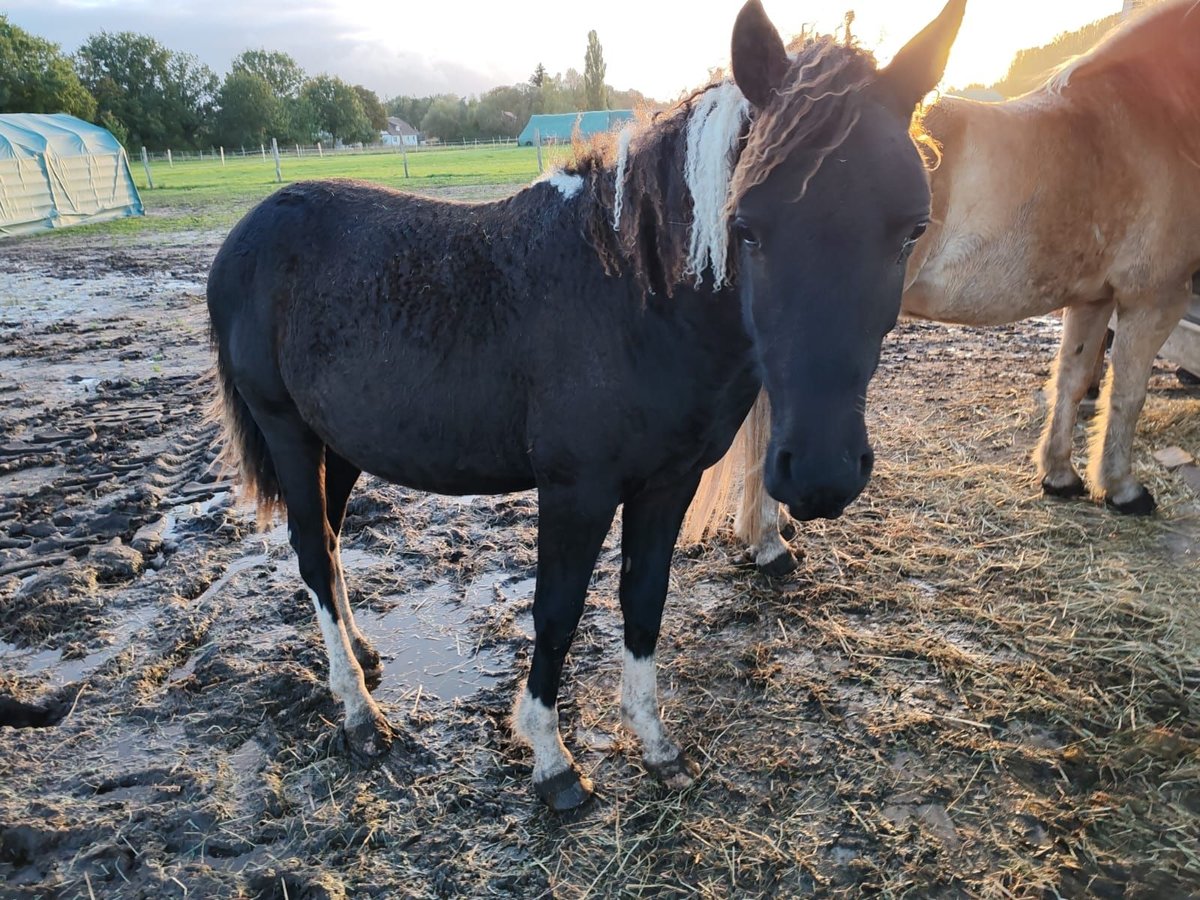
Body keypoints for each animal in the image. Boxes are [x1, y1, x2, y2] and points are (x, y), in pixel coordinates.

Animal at [208, 0, 964, 816]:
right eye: (748, 226)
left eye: (912, 229)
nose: (822, 474)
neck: (635, 299)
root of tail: (248, 234)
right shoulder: (577, 490)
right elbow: (558, 610)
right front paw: (552, 760)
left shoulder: (668, 483)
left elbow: (644, 599)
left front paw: (654, 744)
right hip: (287, 430)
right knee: (313, 553)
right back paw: (358, 712)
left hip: (338, 444)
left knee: (331, 538)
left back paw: (362, 654)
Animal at [696, 0, 1200, 578]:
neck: (1141, 119)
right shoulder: (1154, 298)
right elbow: (1128, 396)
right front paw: (1122, 489)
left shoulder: (1093, 299)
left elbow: (1072, 383)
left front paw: (1060, 476)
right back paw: (769, 541)